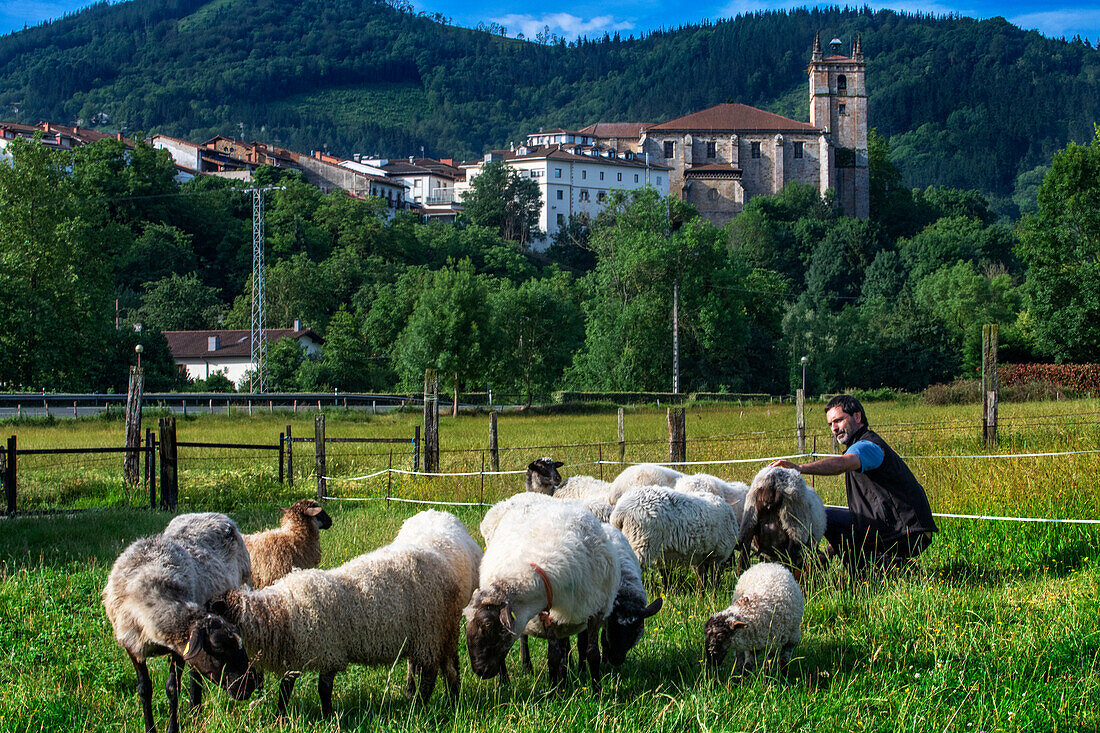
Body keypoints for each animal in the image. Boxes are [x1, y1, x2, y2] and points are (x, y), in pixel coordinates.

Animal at [102, 510, 258, 730]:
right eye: (219, 649)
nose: (248, 687)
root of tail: (213, 514)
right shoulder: (133, 646)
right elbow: (144, 689)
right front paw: (150, 728)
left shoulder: (178, 649)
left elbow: (172, 688)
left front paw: (172, 728)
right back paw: (194, 708)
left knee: (194, 673)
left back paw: (195, 707)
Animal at [210, 537, 464, 713]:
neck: (280, 611)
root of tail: (448, 573)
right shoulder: (297, 654)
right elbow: (285, 688)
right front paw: (280, 715)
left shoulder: (329, 651)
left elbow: (323, 689)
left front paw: (328, 715)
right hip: (441, 635)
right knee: (449, 669)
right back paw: (451, 700)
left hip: (429, 633)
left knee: (430, 675)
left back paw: (420, 706)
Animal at [464, 493, 620, 686]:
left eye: (487, 624)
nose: (479, 671)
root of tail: (520, 495)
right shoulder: (549, 617)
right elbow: (553, 656)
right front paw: (554, 690)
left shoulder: (595, 611)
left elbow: (592, 654)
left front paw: (595, 687)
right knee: (523, 638)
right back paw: (514, 674)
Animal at [611, 482, 739, 585]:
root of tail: (620, 512)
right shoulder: (717, 556)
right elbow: (713, 580)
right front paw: (713, 595)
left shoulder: (699, 558)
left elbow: (701, 581)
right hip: (641, 543)